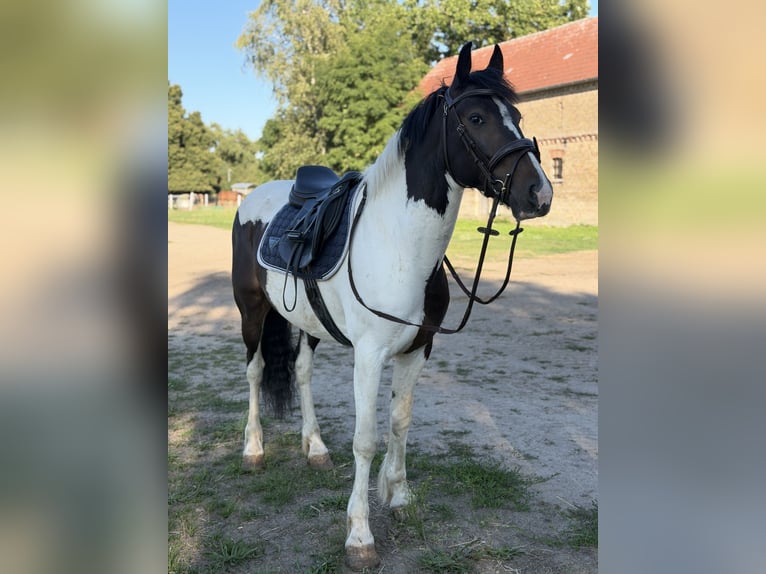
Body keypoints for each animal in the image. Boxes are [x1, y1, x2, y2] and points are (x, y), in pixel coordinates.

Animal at [231, 42, 552, 570]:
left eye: (520, 116)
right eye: (478, 117)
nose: (539, 192)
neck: (400, 244)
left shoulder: (417, 350)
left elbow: (400, 422)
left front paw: (399, 497)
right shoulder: (369, 356)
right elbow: (366, 438)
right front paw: (360, 536)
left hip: (309, 324)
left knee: (300, 371)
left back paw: (314, 448)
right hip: (251, 311)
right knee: (256, 372)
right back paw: (253, 450)